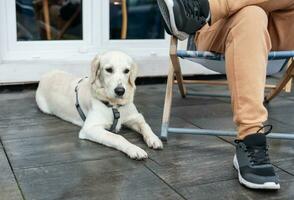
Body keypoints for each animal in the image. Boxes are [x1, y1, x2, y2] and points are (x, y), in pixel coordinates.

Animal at [35, 51, 163, 159]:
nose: (120, 91)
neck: (115, 106)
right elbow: (118, 137)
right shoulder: (90, 128)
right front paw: (134, 149)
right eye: (109, 69)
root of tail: (47, 74)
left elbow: (145, 126)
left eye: (127, 71)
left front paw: (154, 139)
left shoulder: (135, 117)